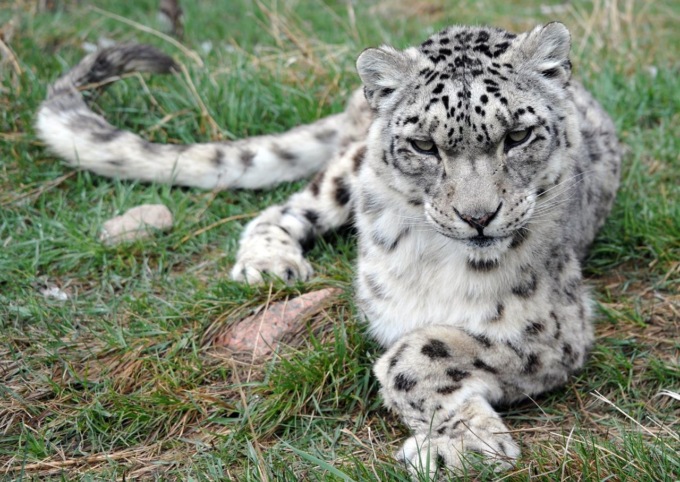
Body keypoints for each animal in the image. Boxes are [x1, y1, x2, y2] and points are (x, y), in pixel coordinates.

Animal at [36, 22, 621, 478]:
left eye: (518, 136)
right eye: (424, 145)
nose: (478, 217)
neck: (439, 262)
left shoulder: (552, 330)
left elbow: (417, 350)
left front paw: (453, 449)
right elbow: (413, 353)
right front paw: (468, 443)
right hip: (344, 172)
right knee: (283, 209)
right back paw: (269, 262)